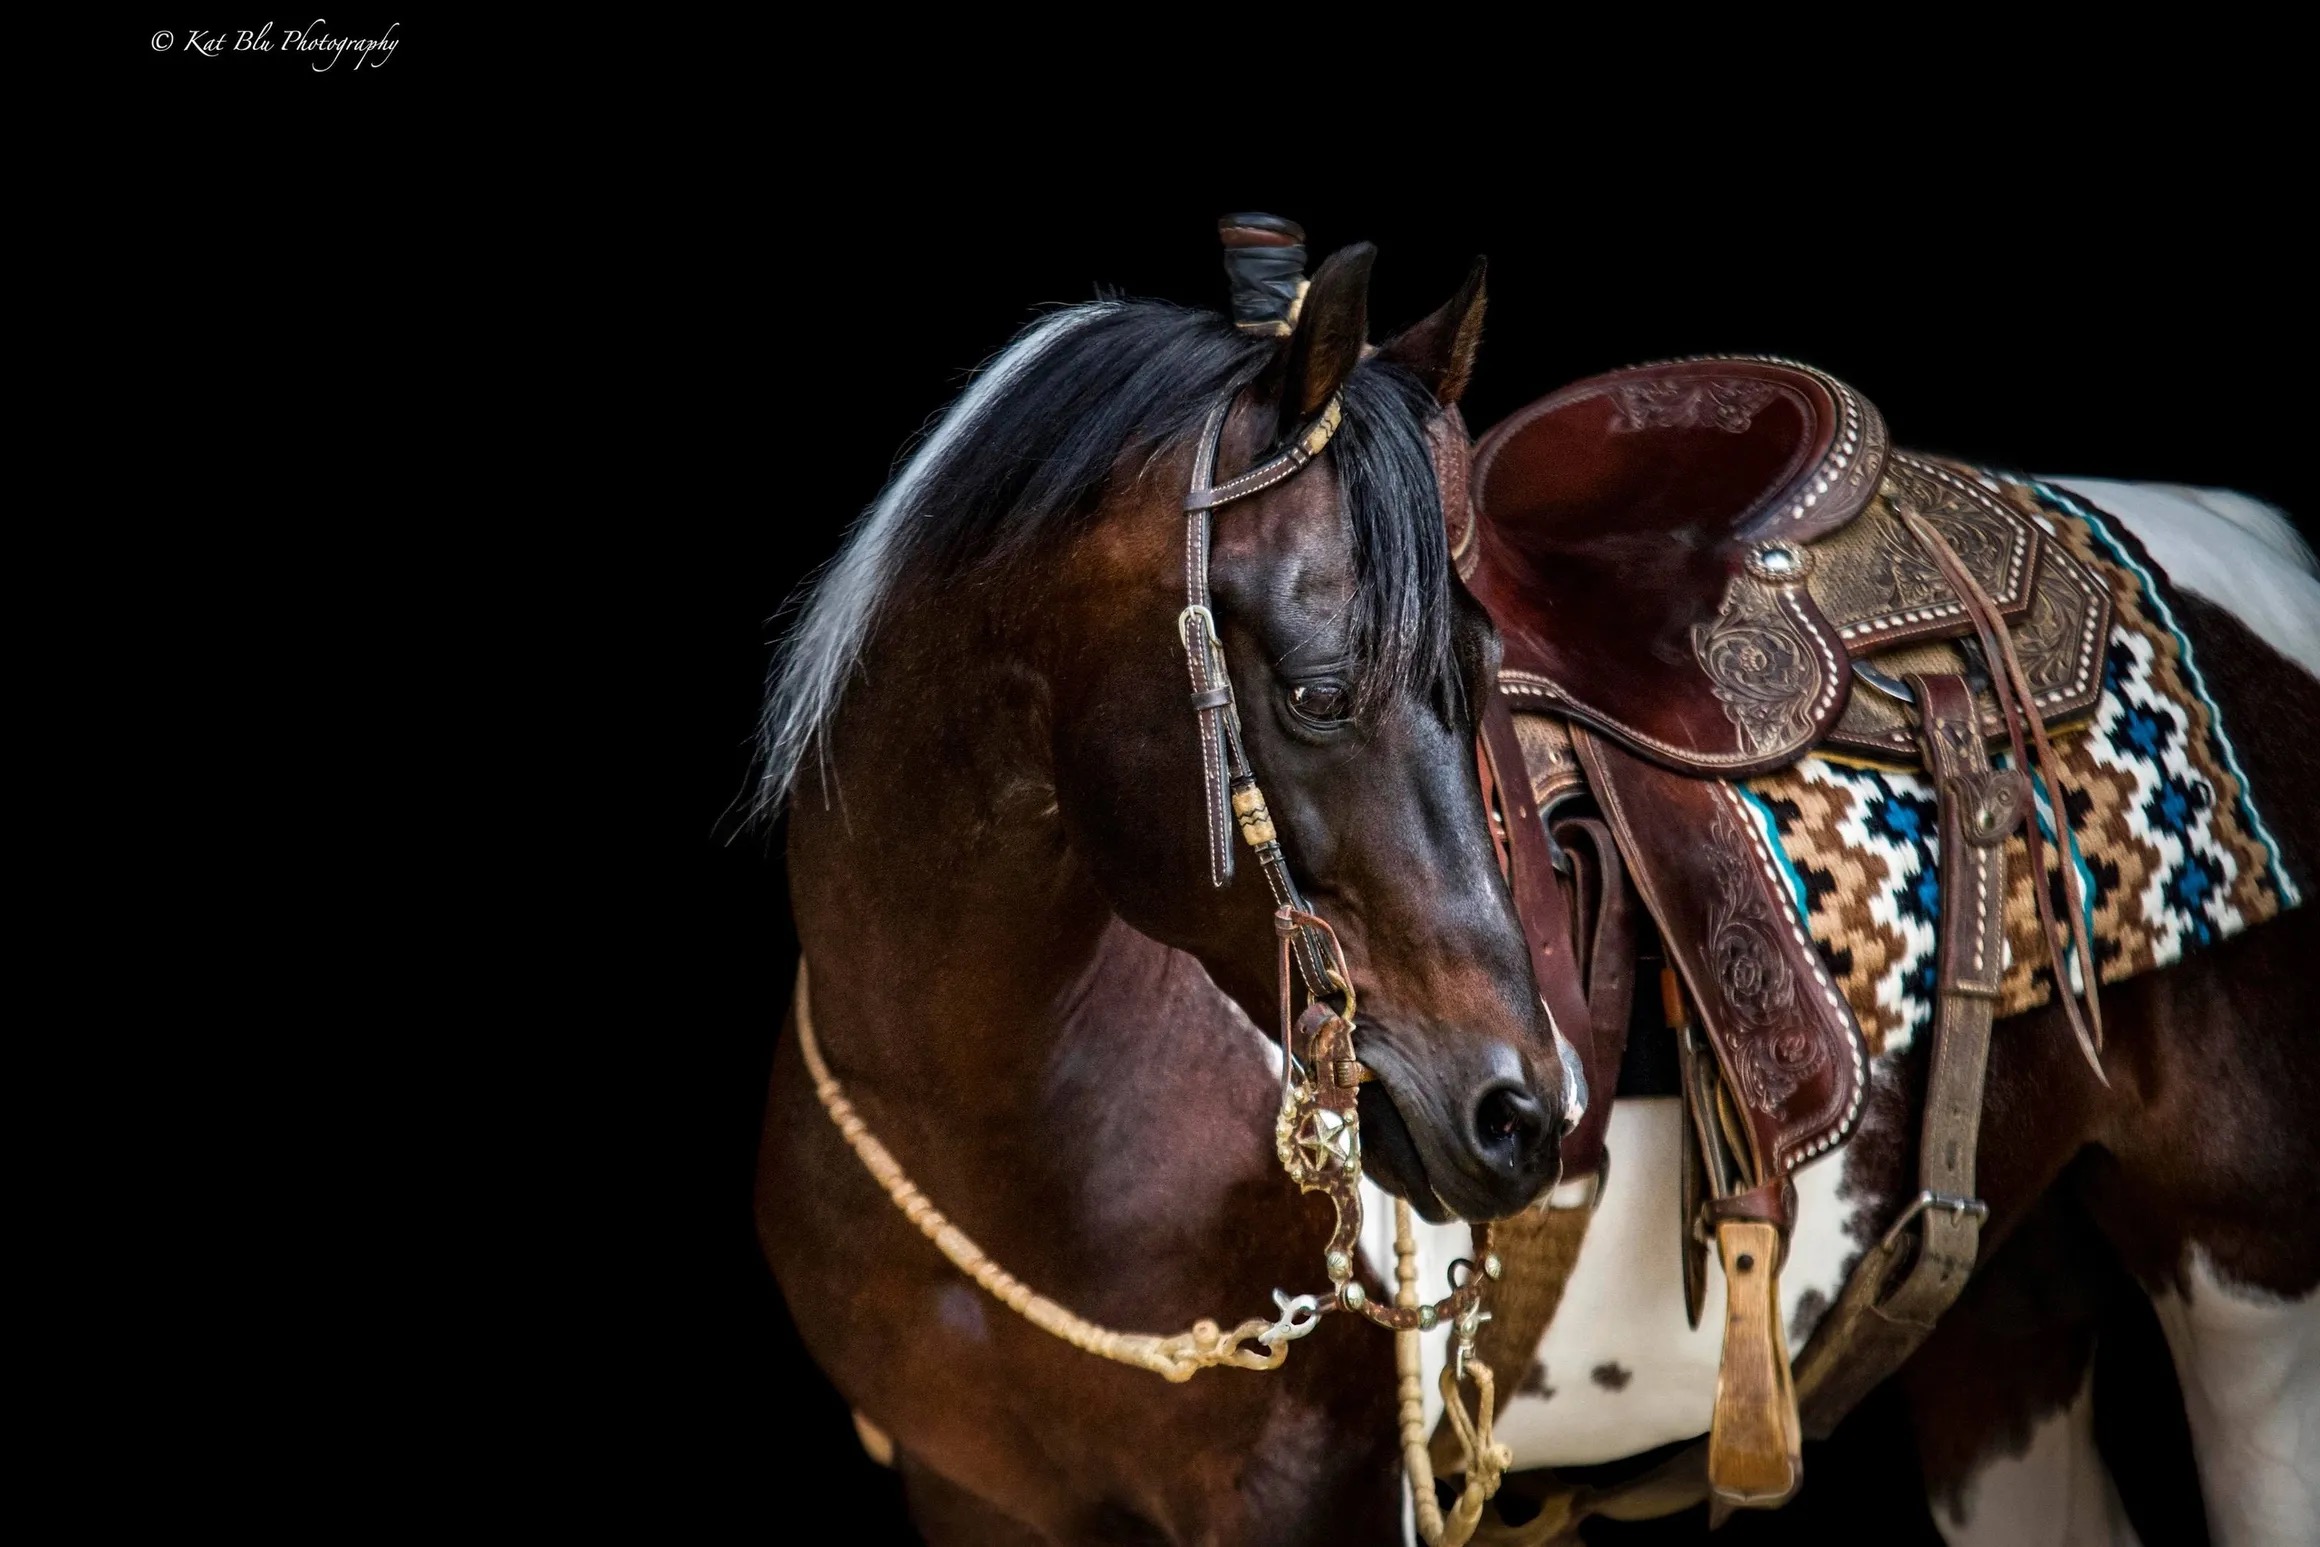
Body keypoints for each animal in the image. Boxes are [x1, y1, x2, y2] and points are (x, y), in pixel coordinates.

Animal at [753, 240, 1574, 1544]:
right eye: (1319, 693)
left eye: (1485, 668)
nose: (1524, 1114)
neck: (986, 1128)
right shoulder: (965, 1493)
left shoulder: (1305, 1497)